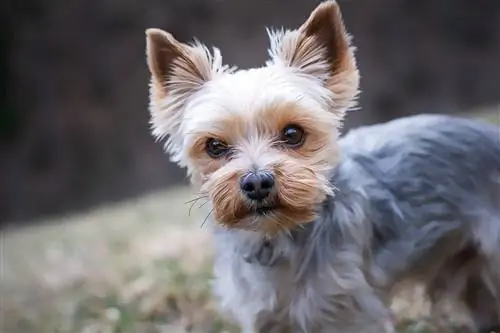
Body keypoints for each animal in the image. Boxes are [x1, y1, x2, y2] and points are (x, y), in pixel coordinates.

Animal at [144, 1, 500, 330]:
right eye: (214, 146)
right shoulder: (264, 317)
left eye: (293, 133)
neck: (277, 237)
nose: (257, 183)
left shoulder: (349, 312)